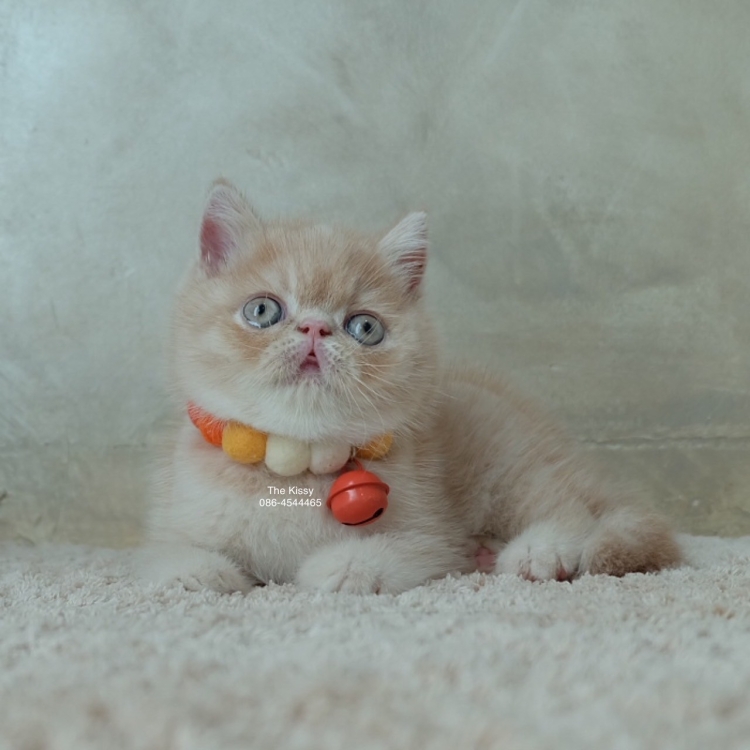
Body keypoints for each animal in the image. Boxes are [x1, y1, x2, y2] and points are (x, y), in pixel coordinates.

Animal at [140, 179, 682, 594]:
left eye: (364, 327)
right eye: (262, 310)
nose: (316, 328)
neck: (293, 469)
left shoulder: (431, 536)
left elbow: (391, 554)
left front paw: (336, 568)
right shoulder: (175, 517)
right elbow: (166, 555)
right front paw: (197, 572)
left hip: (509, 460)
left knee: (568, 510)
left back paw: (538, 551)